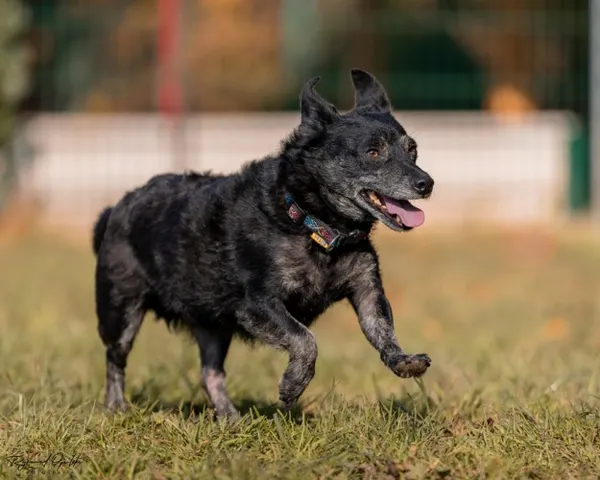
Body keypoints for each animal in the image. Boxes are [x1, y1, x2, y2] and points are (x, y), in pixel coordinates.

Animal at [91, 69, 434, 418]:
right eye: (373, 152)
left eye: (412, 150)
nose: (427, 183)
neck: (312, 223)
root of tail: (115, 208)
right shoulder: (255, 304)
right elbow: (304, 338)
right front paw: (293, 384)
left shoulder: (366, 289)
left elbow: (381, 328)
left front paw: (403, 361)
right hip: (121, 309)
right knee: (114, 359)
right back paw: (116, 407)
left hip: (212, 325)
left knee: (210, 372)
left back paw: (230, 418)